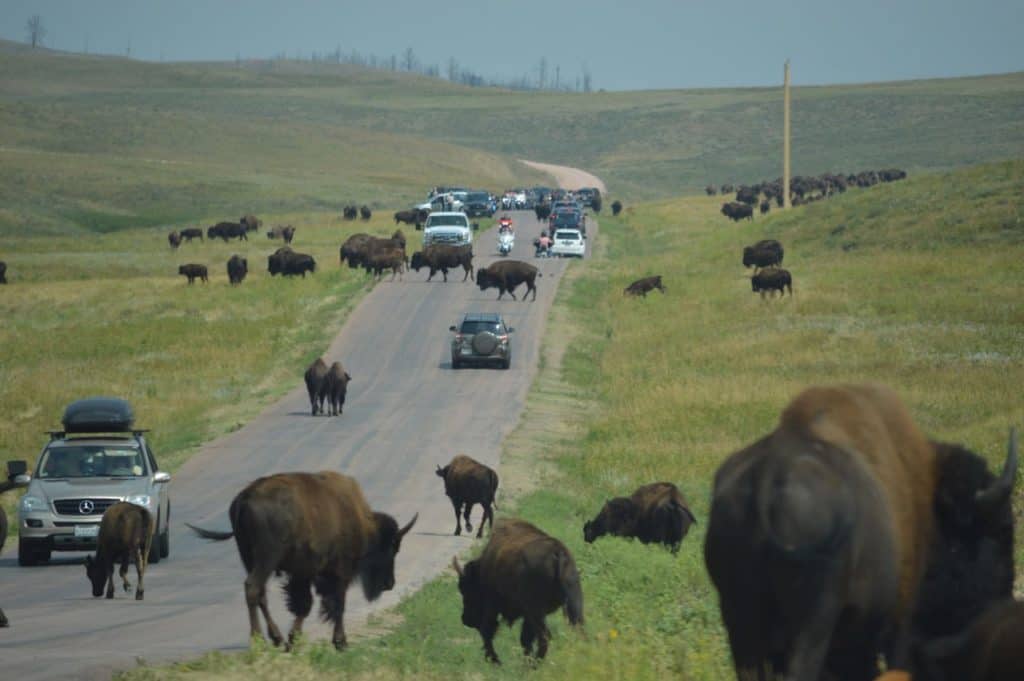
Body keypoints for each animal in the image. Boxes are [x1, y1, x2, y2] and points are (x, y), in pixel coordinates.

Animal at [188, 471, 415, 651]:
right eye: (392, 548)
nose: (390, 583)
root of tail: (244, 499)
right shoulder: (337, 573)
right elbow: (336, 604)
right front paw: (340, 642)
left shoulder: (303, 573)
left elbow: (304, 604)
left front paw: (293, 639)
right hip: (266, 559)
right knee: (253, 588)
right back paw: (258, 640)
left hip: (249, 558)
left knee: (260, 594)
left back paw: (277, 638)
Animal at [454, 518, 585, 659]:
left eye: (466, 589)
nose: (466, 619)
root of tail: (558, 553)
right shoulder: (527, 615)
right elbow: (525, 639)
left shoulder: (493, 605)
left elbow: (488, 630)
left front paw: (494, 659)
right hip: (572, 604)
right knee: (577, 629)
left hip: (536, 612)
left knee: (544, 637)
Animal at [708, 382, 1019, 679]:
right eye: (1000, 530)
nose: (1003, 606)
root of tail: (768, 477)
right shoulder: (901, 619)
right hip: (813, 624)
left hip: (738, 617)